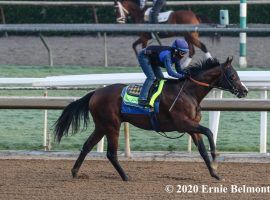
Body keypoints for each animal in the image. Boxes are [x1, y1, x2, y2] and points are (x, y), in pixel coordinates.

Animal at [53, 56, 248, 181]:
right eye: (233, 76)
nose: (245, 91)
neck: (188, 92)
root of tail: (95, 93)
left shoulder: (191, 127)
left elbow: (202, 150)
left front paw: (215, 173)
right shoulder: (183, 123)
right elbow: (209, 132)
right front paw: (216, 157)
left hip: (102, 126)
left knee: (87, 146)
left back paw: (75, 172)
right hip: (112, 126)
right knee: (111, 153)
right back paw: (126, 176)